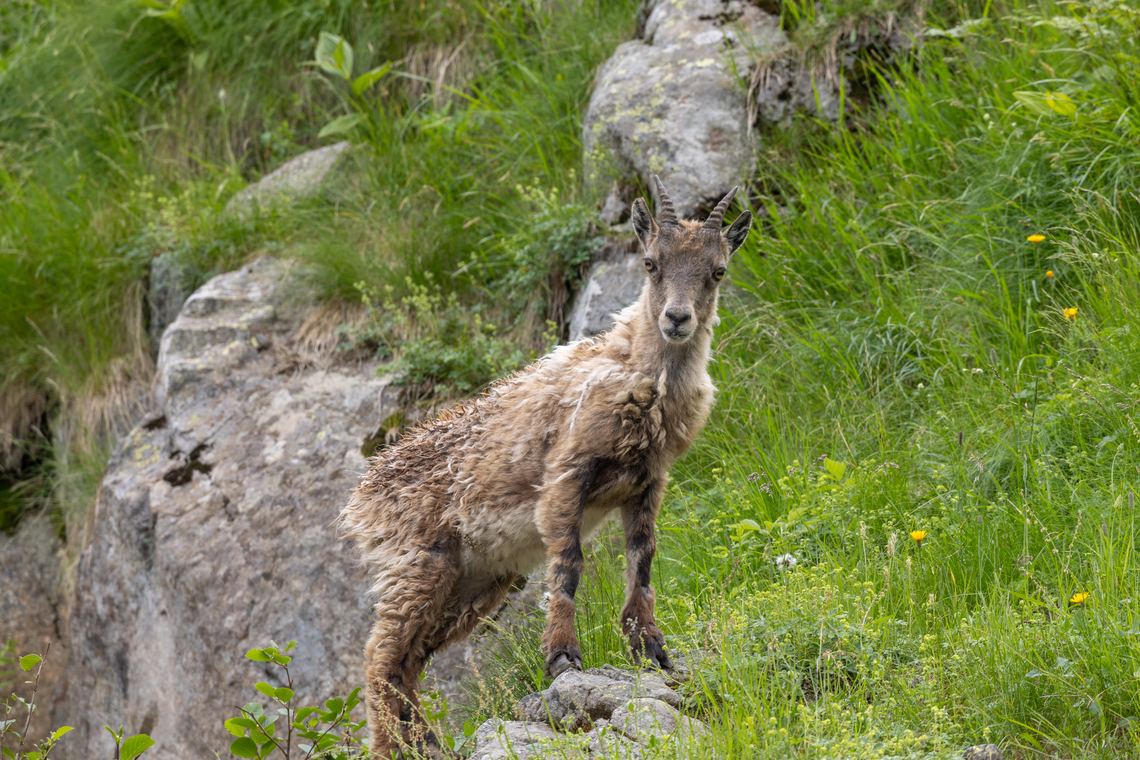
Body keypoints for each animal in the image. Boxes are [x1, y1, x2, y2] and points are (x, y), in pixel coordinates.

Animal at [340, 177, 752, 757]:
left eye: (717, 271)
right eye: (651, 263)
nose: (676, 318)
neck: (637, 375)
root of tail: (362, 498)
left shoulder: (648, 483)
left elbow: (643, 559)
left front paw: (651, 648)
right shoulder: (566, 477)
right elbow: (569, 564)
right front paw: (562, 655)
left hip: (477, 582)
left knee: (408, 660)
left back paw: (425, 742)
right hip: (418, 562)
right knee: (381, 656)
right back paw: (393, 747)